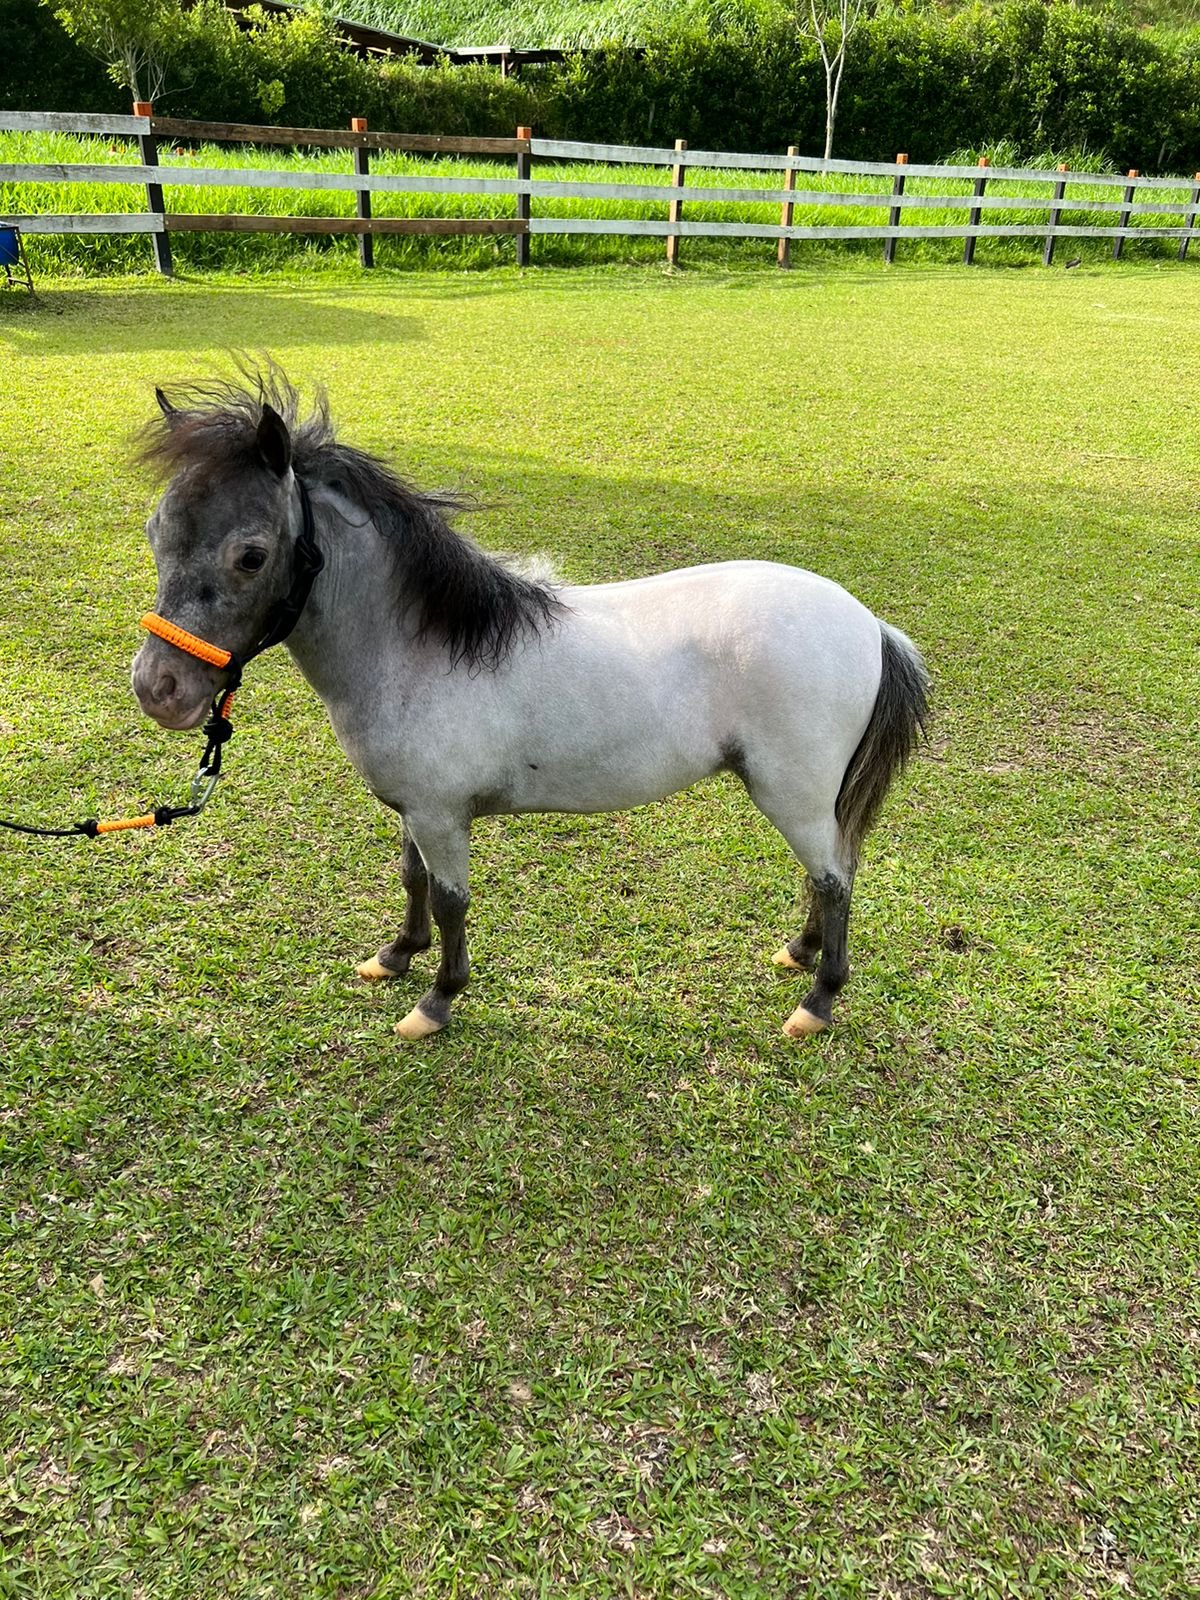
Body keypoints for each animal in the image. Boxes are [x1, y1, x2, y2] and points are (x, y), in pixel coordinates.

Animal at [130, 369, 929, 1043]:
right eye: (155, 530)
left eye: (252, 555)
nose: (158, 690)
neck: (421, 650)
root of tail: (869, 625)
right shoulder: (415, 810)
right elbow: (413, 879)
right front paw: (395, 956)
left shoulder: (442, 815)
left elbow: (451, 900)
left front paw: (437, 1001)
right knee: (826, 874)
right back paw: (799, 953)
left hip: (792, 793)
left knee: (834, 878)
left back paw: (818, 1001)